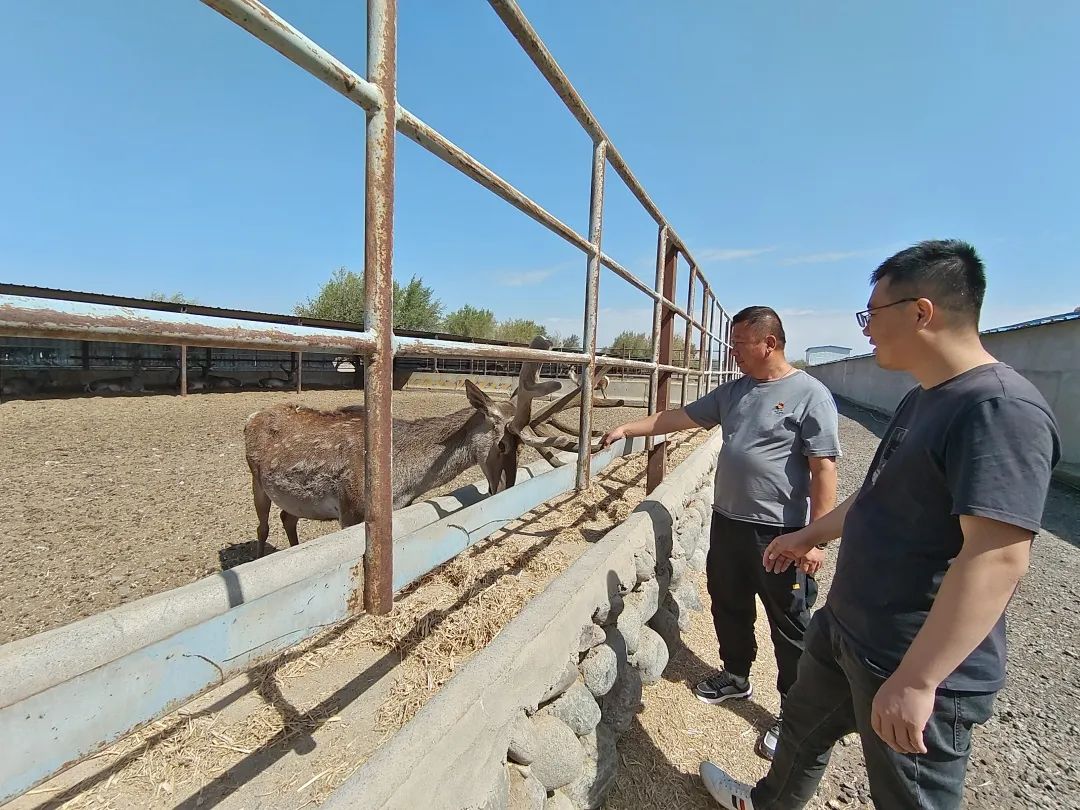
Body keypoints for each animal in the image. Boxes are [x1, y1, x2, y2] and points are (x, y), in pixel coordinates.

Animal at [243, 336, 626, 557]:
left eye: (521, 447)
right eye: (503, 445)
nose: (504, 488)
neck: (403, 481)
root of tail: (253, 415)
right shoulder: (350, 510)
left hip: (292, 496)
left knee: (286, 517)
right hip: (256, 480)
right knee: (263, 525)